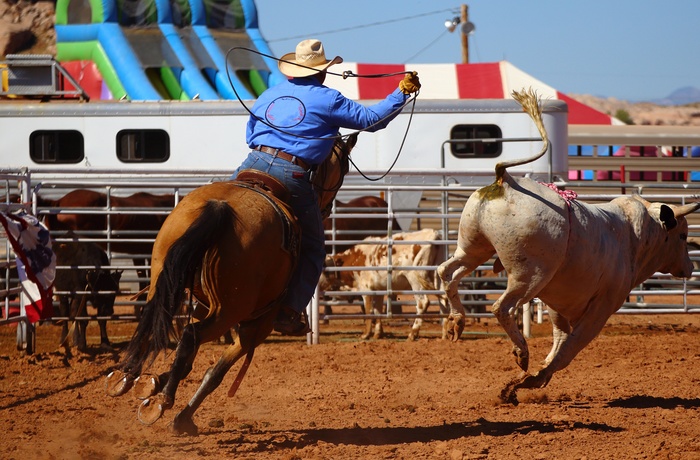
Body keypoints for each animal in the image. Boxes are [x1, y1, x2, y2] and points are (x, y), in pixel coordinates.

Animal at [105, 134, 356, 434]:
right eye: (343, 170)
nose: (326, 209)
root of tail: (220, 207)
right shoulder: (255, 327)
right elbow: (215, 373)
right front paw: (181, 417)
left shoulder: (208, 309)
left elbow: (188, 364)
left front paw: (152, 384)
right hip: (230, 311)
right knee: (190, 335)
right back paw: (162, 401)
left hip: (166, 282)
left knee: (153, 320)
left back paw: (125, 376)